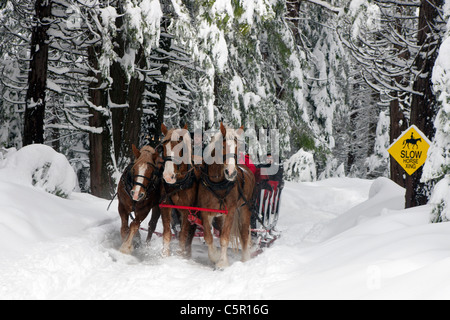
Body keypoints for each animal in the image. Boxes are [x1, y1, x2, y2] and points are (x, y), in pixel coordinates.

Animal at [160, 122, 199, 258]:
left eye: (180, 147)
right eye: (163, 147)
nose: (168, 176)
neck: (178, 185)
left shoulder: (187, 212)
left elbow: (183, 235)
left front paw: (181, 255)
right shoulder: (166, 207)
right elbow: (167, 233)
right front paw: (165, 255)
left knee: (190, 235)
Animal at [198, 124, 255, 268]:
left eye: (237, 147)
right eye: (222, 146)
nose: (231, 172)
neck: (218, 184)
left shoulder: (230, 211)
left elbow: (224, 238)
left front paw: (222, 263)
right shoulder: (205, 211)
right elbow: (208, 237)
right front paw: (214, 256)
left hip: (244, 209)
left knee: (244, 234)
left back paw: (245, 260)